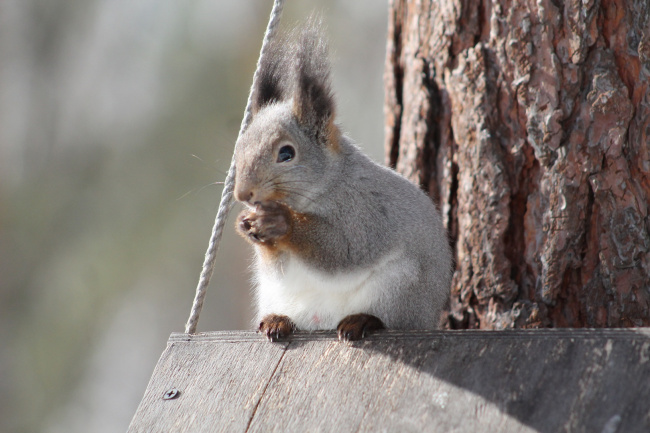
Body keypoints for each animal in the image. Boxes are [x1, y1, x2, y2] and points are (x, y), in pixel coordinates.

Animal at [233, 22, 450, 340]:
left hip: (399, 289)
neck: (325, 187)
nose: (242, 194)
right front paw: (246, 224)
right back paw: (277, 321)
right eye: (239, 148)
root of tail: (323, 320)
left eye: (286, 153)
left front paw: (283, 222)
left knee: (386, 316)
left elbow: (341, 251)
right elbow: (277, 265)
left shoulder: (365, 213)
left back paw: (361, 321)